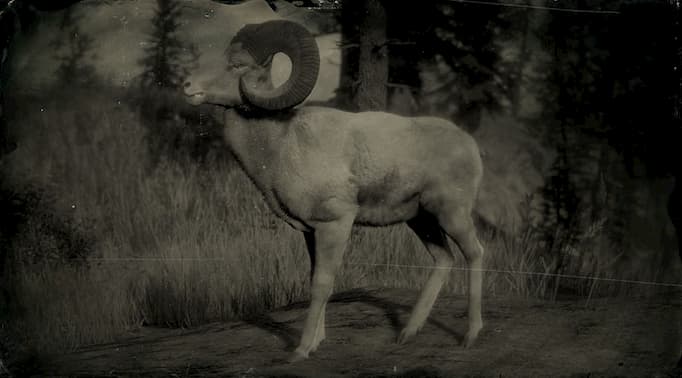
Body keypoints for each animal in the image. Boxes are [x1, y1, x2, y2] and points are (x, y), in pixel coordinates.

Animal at [182, 19, 484, 362]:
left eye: (237, 65)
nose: (187, 84)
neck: (282, 144)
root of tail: (468, 144)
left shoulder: (334, 225)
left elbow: (322, 285)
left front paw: (301, 351)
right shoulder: (311, 232)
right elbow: (315, 279)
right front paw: (316, 342)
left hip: (452, 215)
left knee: (474, 253)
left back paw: (470, 336)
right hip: (422, 221)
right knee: (444, 259)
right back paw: (407, 334)